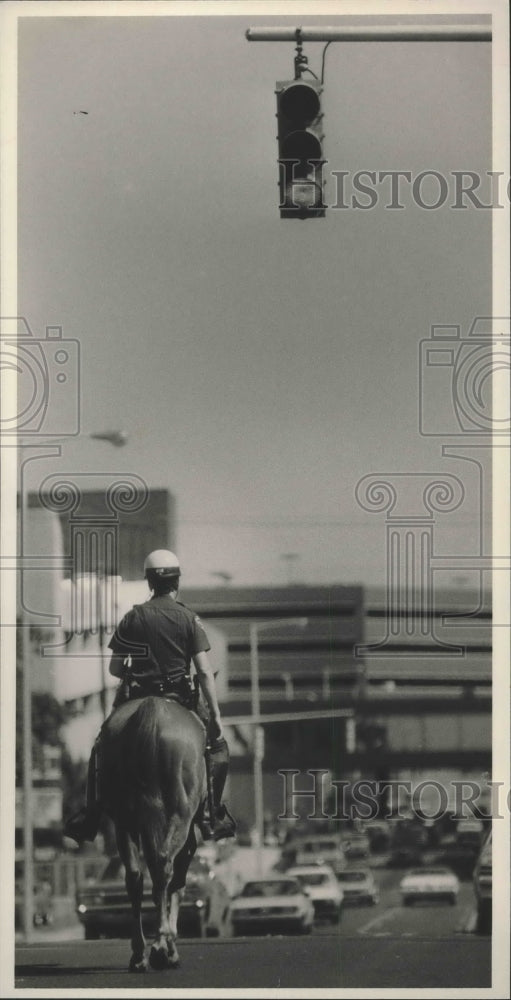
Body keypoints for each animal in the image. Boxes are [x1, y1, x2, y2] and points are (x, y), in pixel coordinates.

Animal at [99, 696, 206, 968]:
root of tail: (153, 709)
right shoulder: (189, 836)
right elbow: (178, 884)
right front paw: (170, 943)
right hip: (179, 817)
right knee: (163, 867)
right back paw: (160, 945)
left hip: (125, 824)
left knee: (136, 877)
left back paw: (140, 953)